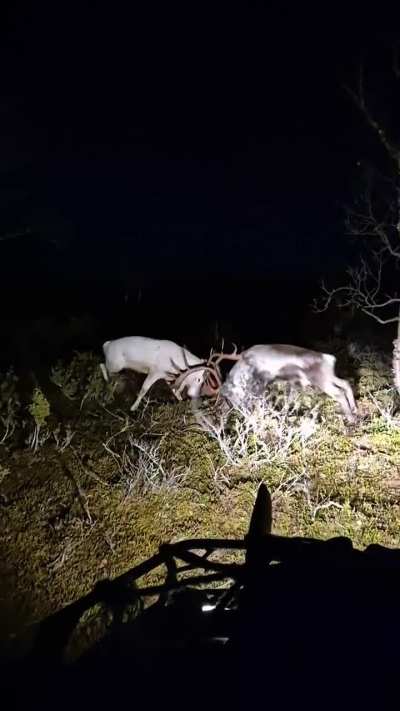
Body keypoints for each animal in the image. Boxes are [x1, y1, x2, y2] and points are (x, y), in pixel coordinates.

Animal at [209, 343, 358, 423]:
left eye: (228, 395)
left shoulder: (261, 382)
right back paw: (355, 409)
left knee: (339, 393)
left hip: (321, 381)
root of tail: (328, 358)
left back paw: (351, 418)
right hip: (330, 377)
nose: (244, 411)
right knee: (346, 383)